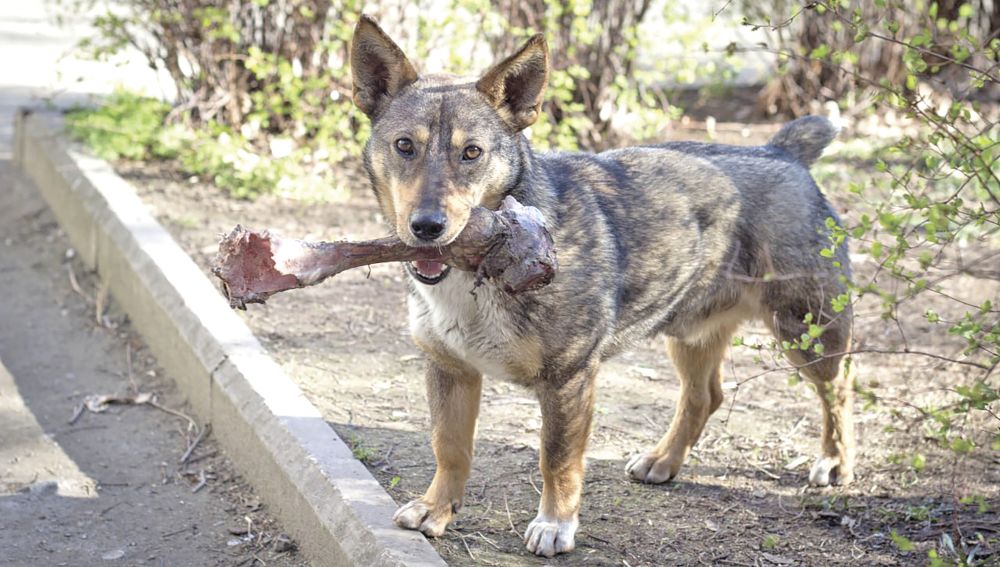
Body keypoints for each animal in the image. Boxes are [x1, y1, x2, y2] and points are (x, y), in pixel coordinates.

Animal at [348, 14, 856, 560]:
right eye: (405, 146)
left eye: (472, 153)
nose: (426, 227)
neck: (482, 267)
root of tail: (782, 151)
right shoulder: (450, 369)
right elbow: (450, 447)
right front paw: (437, 509)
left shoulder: (569, 379)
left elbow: (556, 458)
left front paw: (555, 525)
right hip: (689, 334)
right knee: (704, 397)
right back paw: (664, 459)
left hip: (807, 334)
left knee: (840, 389)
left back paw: (835, 460)